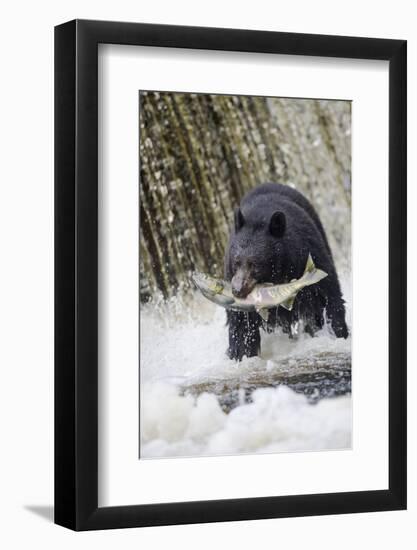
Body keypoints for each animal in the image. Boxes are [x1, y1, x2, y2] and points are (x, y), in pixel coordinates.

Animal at [224, 183, 348, 362]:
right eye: (236, 262)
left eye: (254, 265)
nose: (237, 290)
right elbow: (240, 321)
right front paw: (241, 354)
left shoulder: (308, 254)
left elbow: (328, 293)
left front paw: (338, 333)